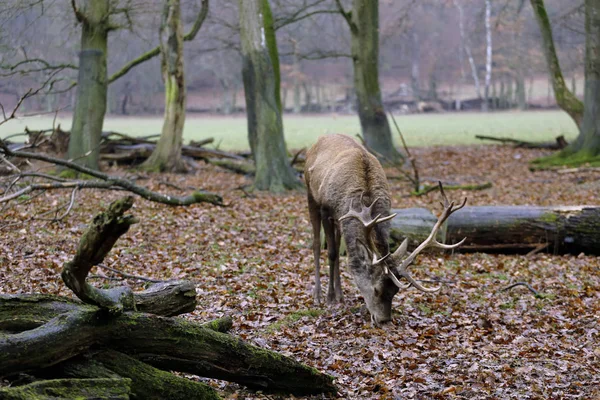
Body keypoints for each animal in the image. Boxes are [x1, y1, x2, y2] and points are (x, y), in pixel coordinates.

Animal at [302, 134, 466, 324]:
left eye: (395, 291)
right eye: (376, 289)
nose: (384, 320)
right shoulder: (326, 208)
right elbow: (332, 253)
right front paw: (329, 299)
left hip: (337, 220)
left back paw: (340, 295)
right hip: (310, 193)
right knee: (316, 244)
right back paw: (318, 295)